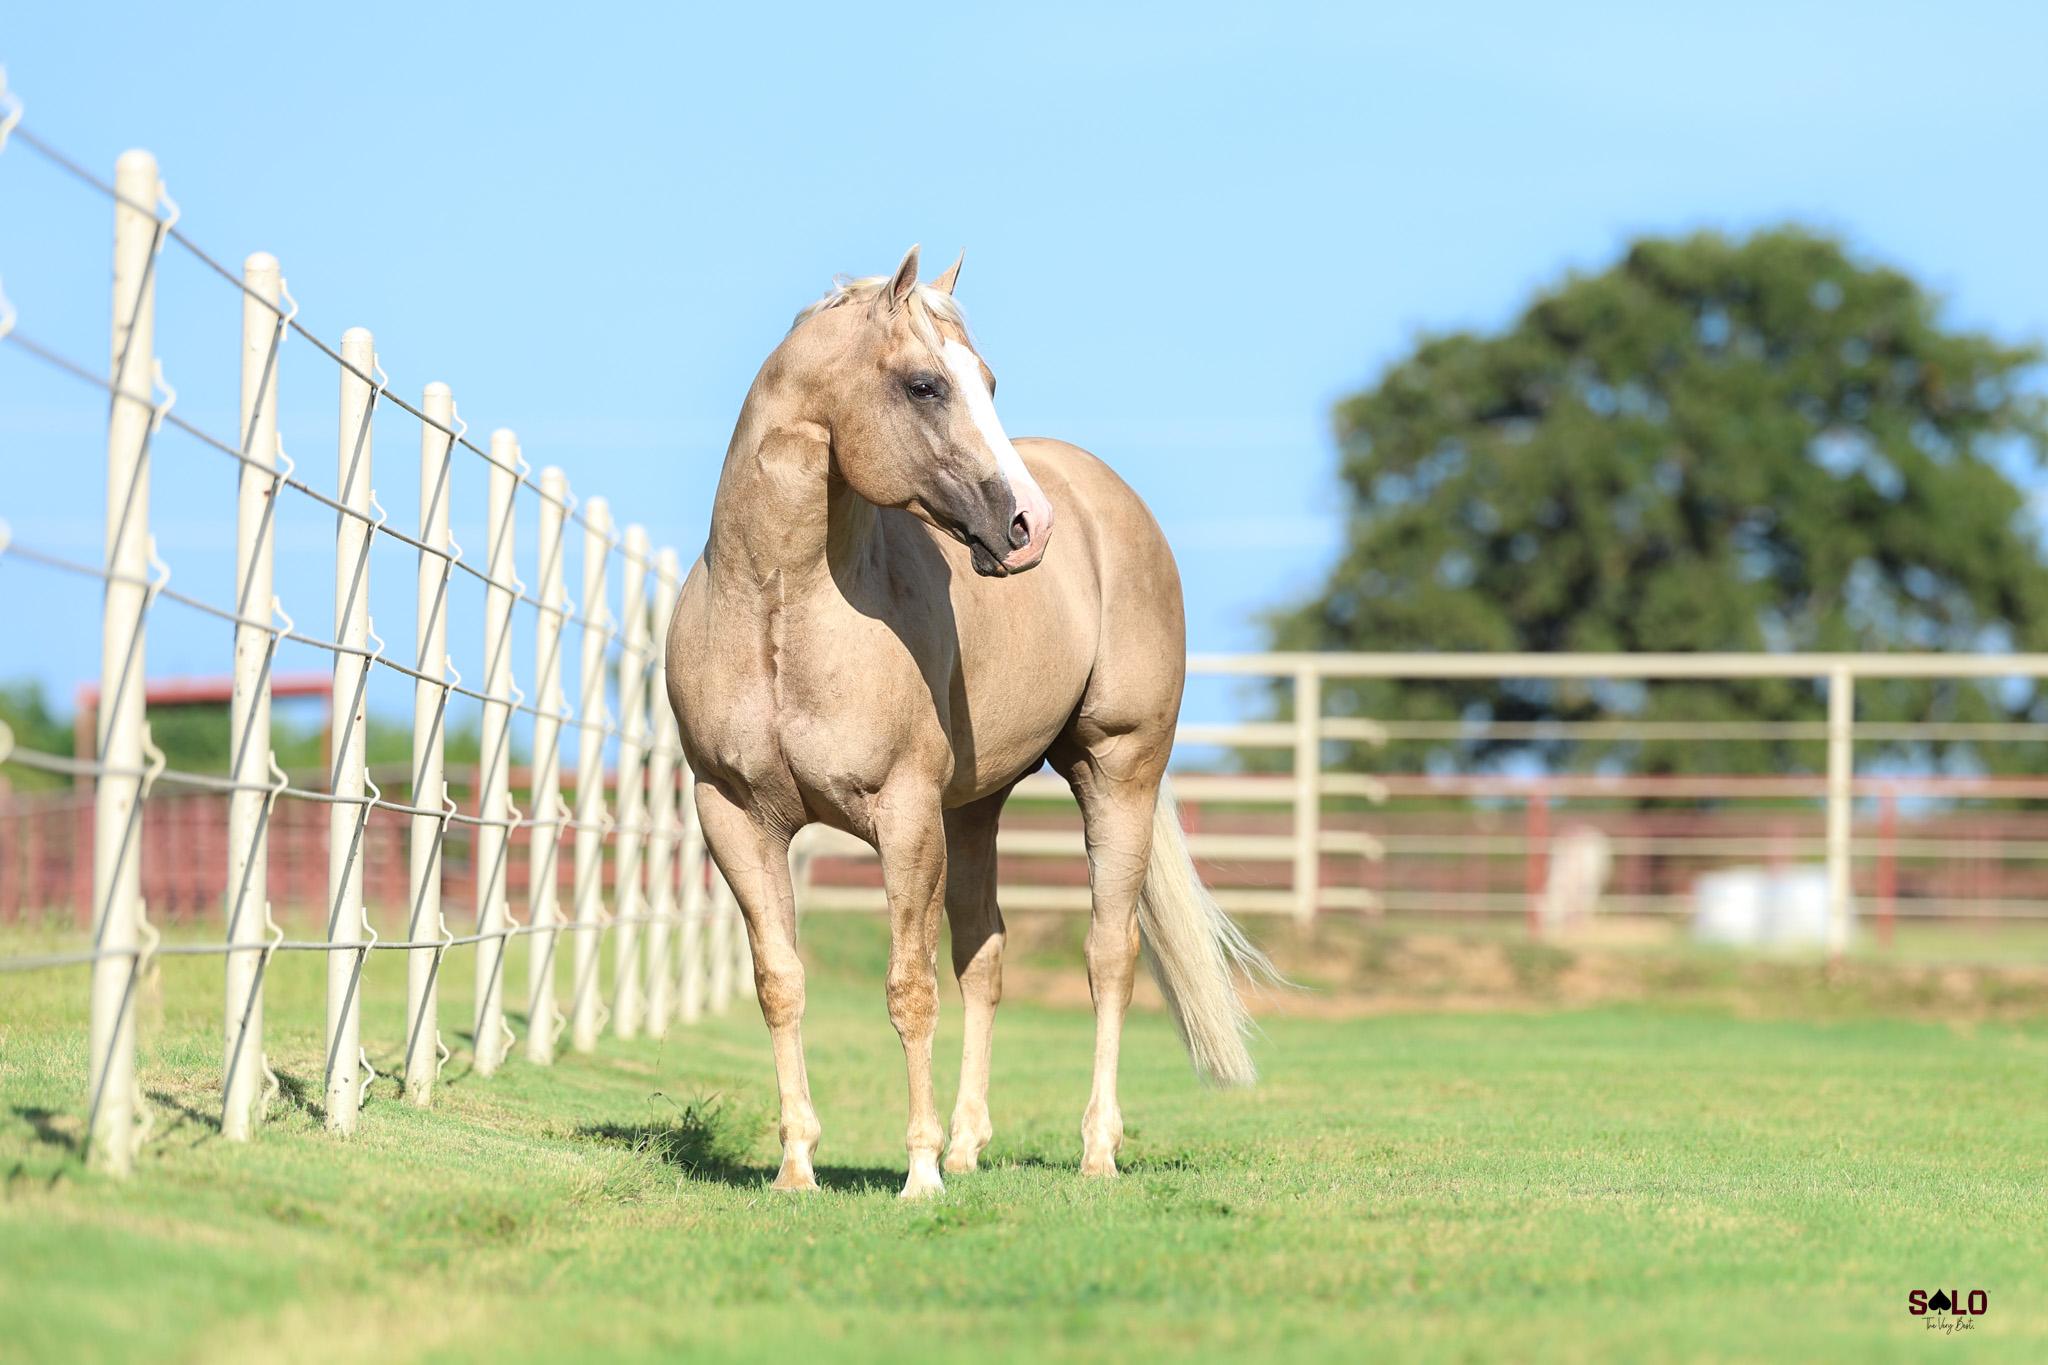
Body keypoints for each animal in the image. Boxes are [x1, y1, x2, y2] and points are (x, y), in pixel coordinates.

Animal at [665, 246, 1272, 1198]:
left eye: (987, 380)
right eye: (925, 385)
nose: (1030, 526)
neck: (776, 608)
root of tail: (1104, 497)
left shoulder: (904, 814)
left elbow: (909, 988)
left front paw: (917, 1176)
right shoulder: (733, 815)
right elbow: (781, 981)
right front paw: (798, 1167)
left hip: (1116, 773)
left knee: (1110, 955)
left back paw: (1095, 1150)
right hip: (974, 809)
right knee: (984, 959)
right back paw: (967, 1143)